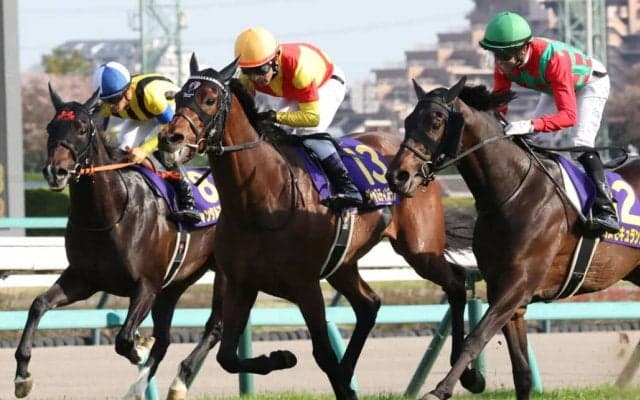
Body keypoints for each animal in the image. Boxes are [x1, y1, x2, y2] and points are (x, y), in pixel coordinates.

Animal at [14, 85, 225, 399]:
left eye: (81, 128)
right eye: (50, 127)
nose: (55, 172)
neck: (109, 213)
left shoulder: (147, 285)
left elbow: (124, 338)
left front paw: (139, 346)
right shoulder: (84, 279)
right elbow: (38, 305)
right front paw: (22, 375)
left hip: (223, 273)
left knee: (214, 328)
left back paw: (178, 382)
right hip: (174, 284)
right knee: (165, 339)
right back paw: (136, 388)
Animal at [156, 54, 484, 400]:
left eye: (209, 99)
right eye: (178, 98)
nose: (169, 140)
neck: (260, 200)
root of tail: (420, 164)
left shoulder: (306, 286)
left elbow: (323, 354)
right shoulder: (240, 284)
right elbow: (227, 356)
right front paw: (281, 358)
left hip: (419, 248)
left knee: (455, 283)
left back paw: (469, 374)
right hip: (343, 262)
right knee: (369, 304)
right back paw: (350, 368)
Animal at [385, 77, 640, 400]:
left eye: (436, 122)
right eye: (407, 121)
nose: (397, 176)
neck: (513, 191)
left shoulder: (518, 284)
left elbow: (476, 337)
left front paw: (443, 388)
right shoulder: (504, 290)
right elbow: (521, 372)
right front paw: (472, 378)